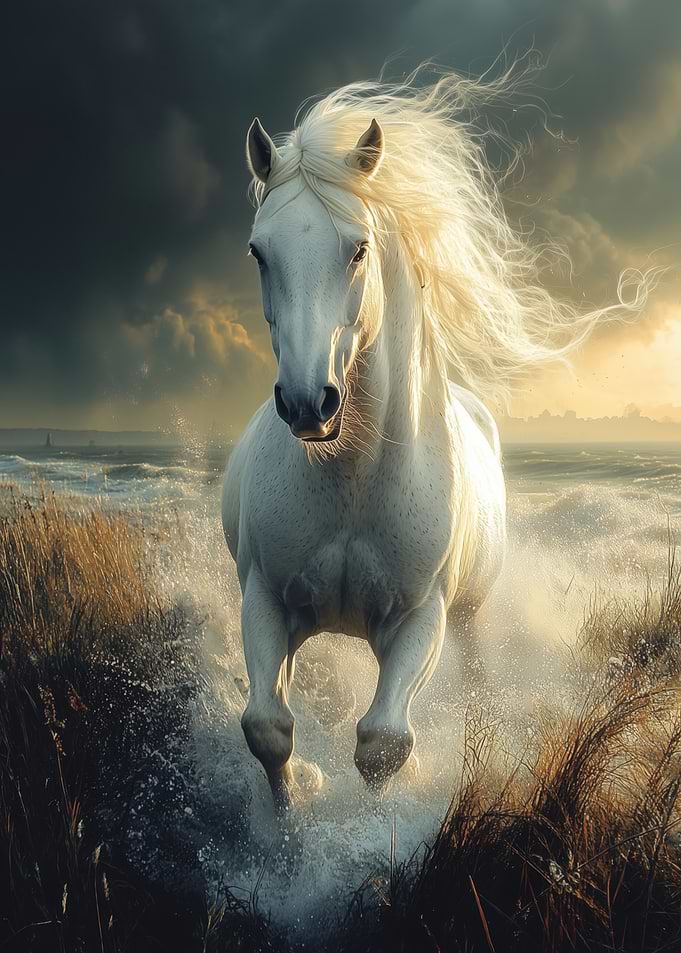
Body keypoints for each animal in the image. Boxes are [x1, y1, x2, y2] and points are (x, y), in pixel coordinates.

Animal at [222, 69, 649, 814]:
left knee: (472, 680)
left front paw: (369, 832)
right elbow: (268, 728)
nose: (307, 403)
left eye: (357, 248)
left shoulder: (422, 618)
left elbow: (382, 744)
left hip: (469, 615)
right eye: (259, 251)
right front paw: (283, 827)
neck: (353, 478)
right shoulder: (265, 598)